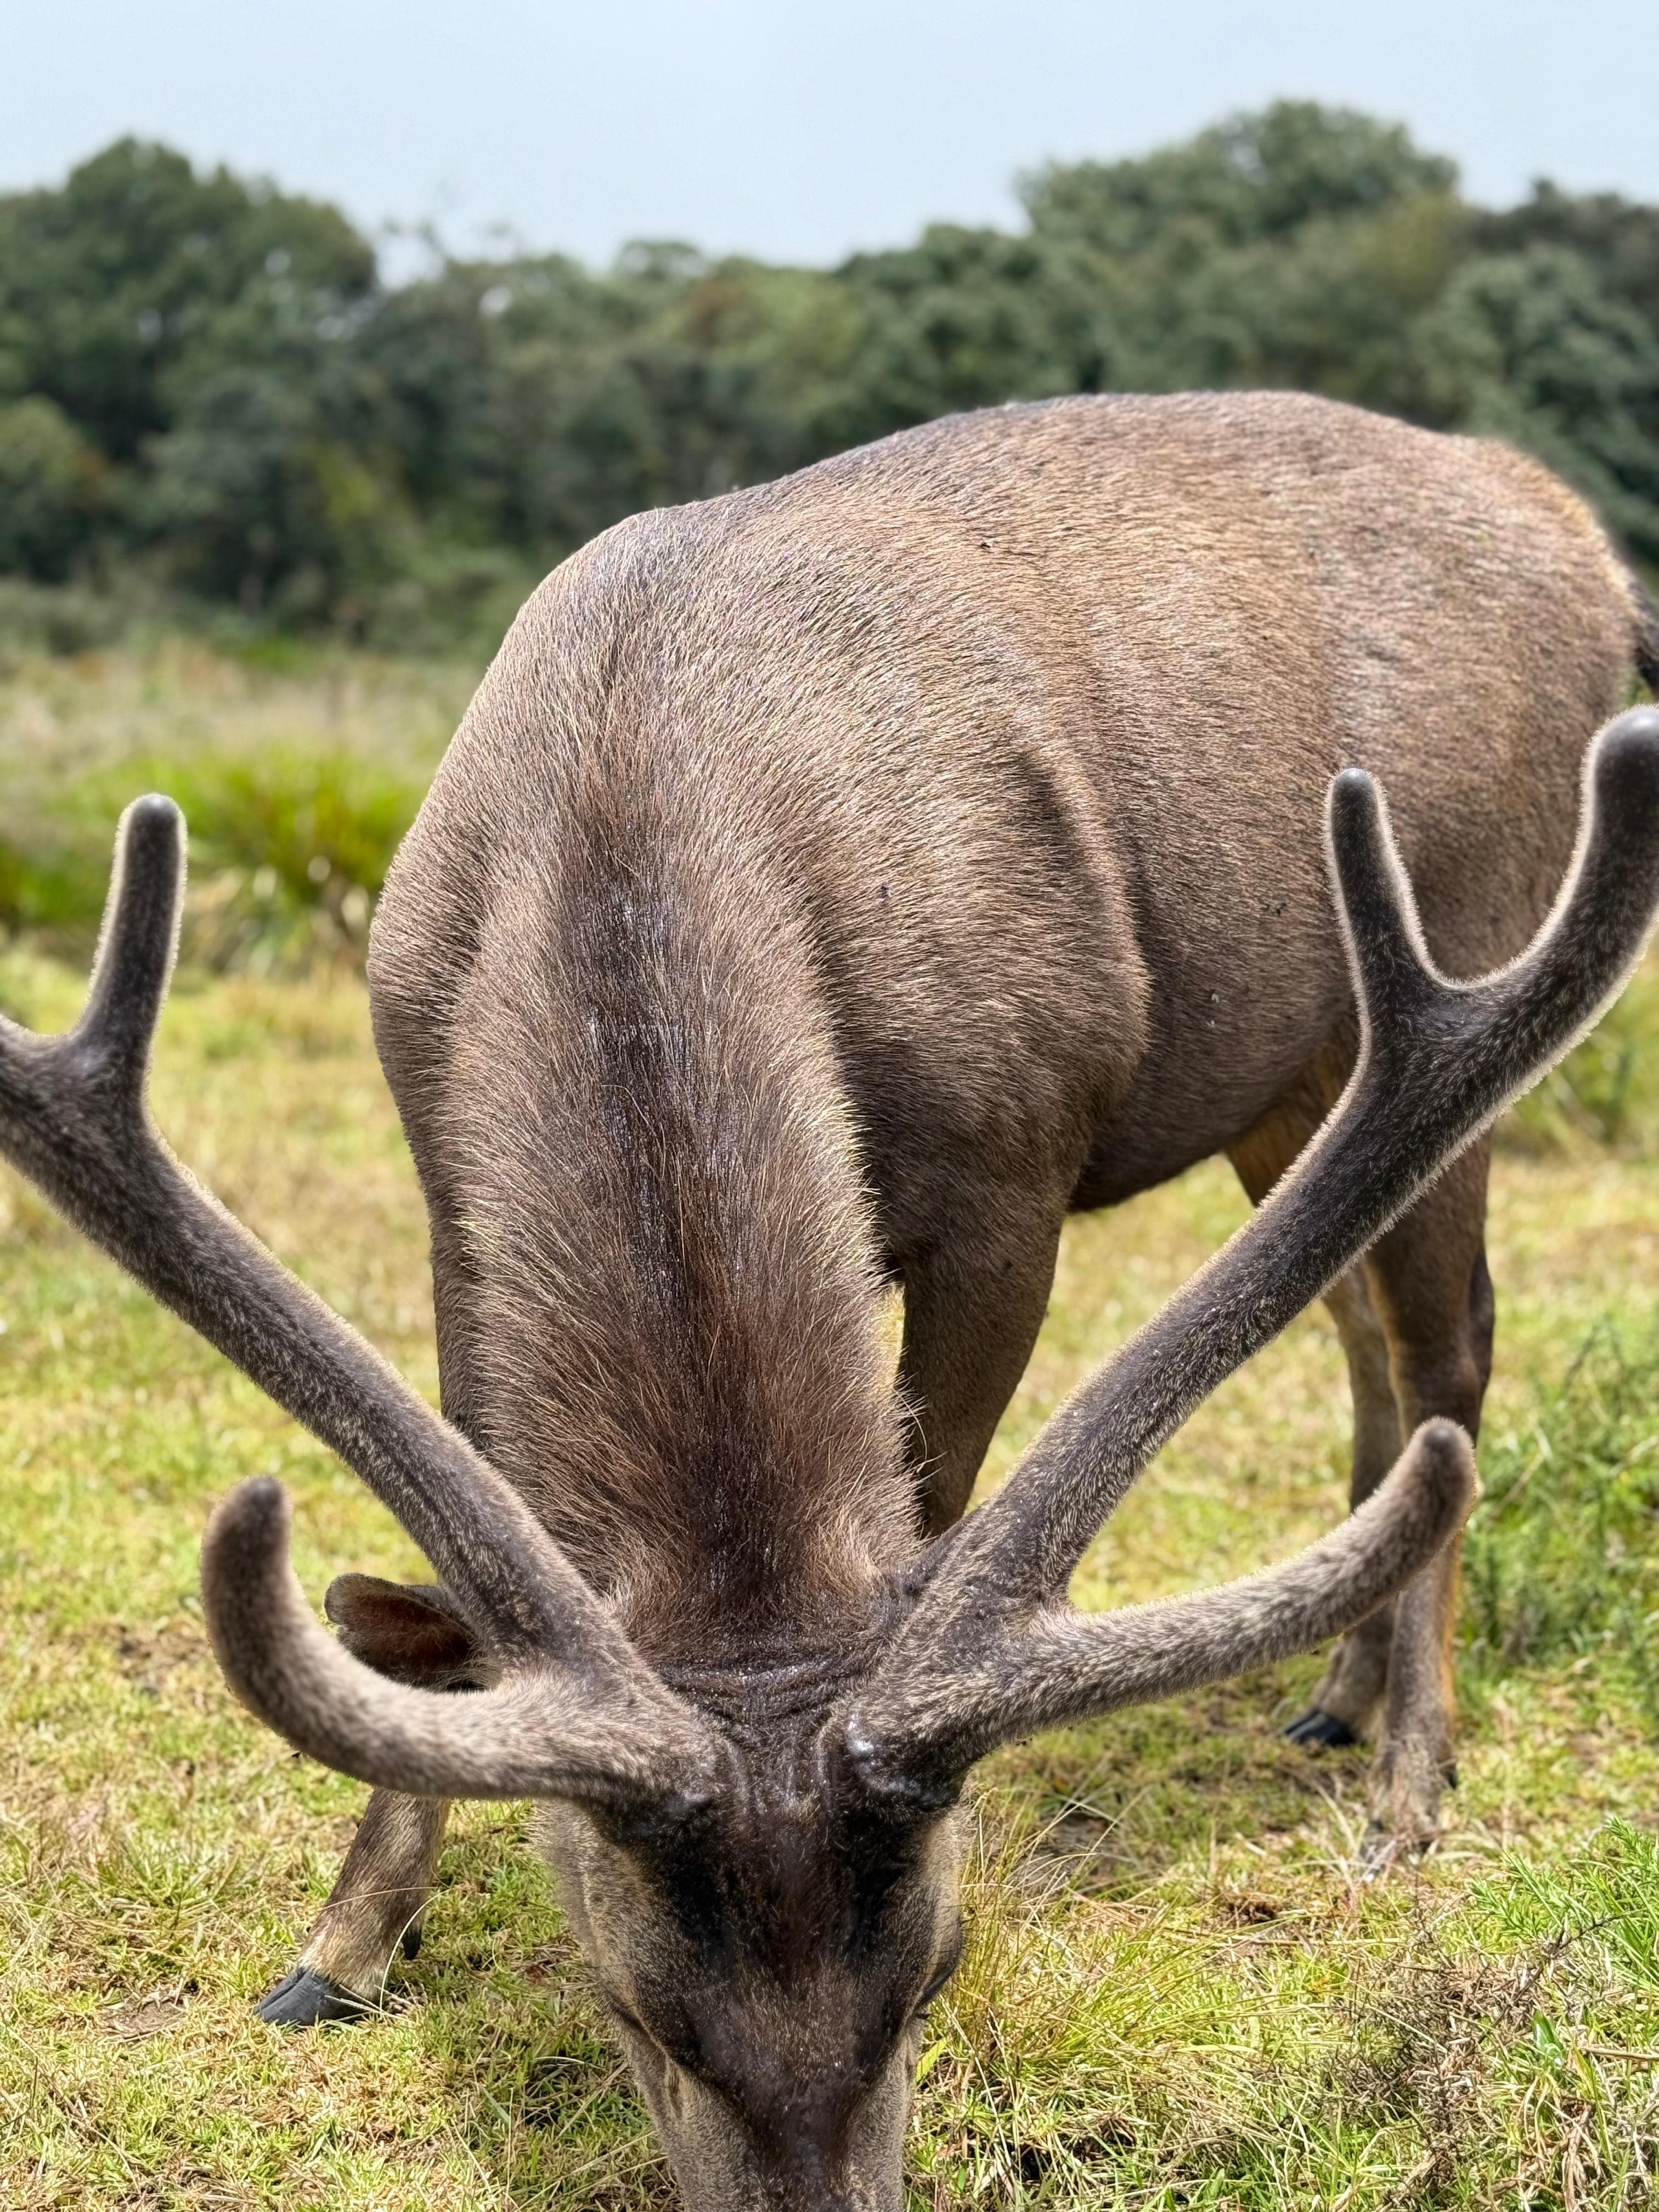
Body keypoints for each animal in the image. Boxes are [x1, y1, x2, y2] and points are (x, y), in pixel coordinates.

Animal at [3, 390, 1658, 2212]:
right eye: (635, 2005)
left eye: (936, 1971)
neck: (629, 789)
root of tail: (1580, 534)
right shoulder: (440, 1179)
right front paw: (340, 1947)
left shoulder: (1012, 1166)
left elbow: (932, 1497)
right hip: (1295, 1076)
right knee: (1366, 1334)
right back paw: (1333, 1696)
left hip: (1483, 912)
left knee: (1449, 1347)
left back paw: (1411, 1785)